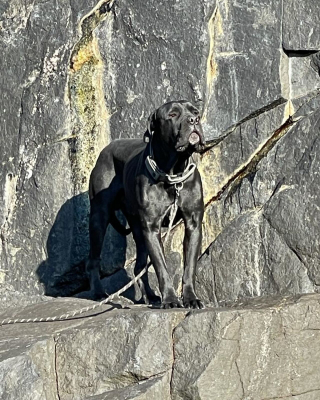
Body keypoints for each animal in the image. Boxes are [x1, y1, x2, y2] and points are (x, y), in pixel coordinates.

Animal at [87, 101, 205, 310]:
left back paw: (150, 295)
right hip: (99, 218)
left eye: (195, 111)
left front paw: (191, 298)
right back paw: (99, 293)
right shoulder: (151, 227)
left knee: (139, 265)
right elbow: (161, 267)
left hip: (137, 227)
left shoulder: (193, 224)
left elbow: (189, 266)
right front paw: (171, 300)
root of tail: (105, 150)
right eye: (173, 114)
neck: (173, 171)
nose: (194, 120)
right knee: (94, 259)